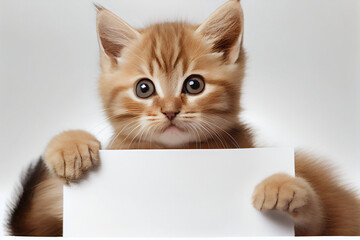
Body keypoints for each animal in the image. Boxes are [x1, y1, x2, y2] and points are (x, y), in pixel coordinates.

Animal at [7, 0, 358, 236]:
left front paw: (285, 186)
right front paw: (70, 146)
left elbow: (318, 218)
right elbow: (40, 215)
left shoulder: (320, 226)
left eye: (194, 84)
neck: (174, 153)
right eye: (144, 88)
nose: (170, 110)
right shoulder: (48, 223)